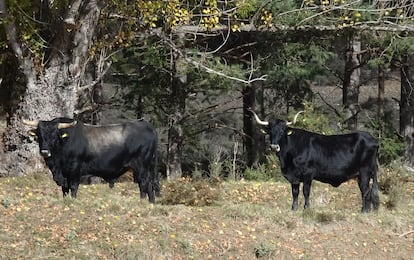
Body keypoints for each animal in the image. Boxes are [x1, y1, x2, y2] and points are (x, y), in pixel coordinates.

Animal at [23, 117, 160, 202]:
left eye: (54, 135)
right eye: (39, 135)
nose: (45, 152)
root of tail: (147, 126)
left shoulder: (75, 169)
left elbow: (73, 187)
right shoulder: (64, 174)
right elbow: (65, 189)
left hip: (141, 166)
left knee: (144, 183)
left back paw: (142, 201)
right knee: (149, 185)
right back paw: (150, 202)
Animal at [249, 110, 378, 212]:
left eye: (282, 131)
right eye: (270, 132)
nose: (274, 147)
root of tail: (371, 138)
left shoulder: (308, 173)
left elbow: (306, 191)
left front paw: (306, 208)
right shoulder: (294, 177)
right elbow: (295, 192)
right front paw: (294, 208)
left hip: (365, 172)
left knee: (366, 191)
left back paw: (364, 211)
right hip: (361, 174)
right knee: (366, 191)